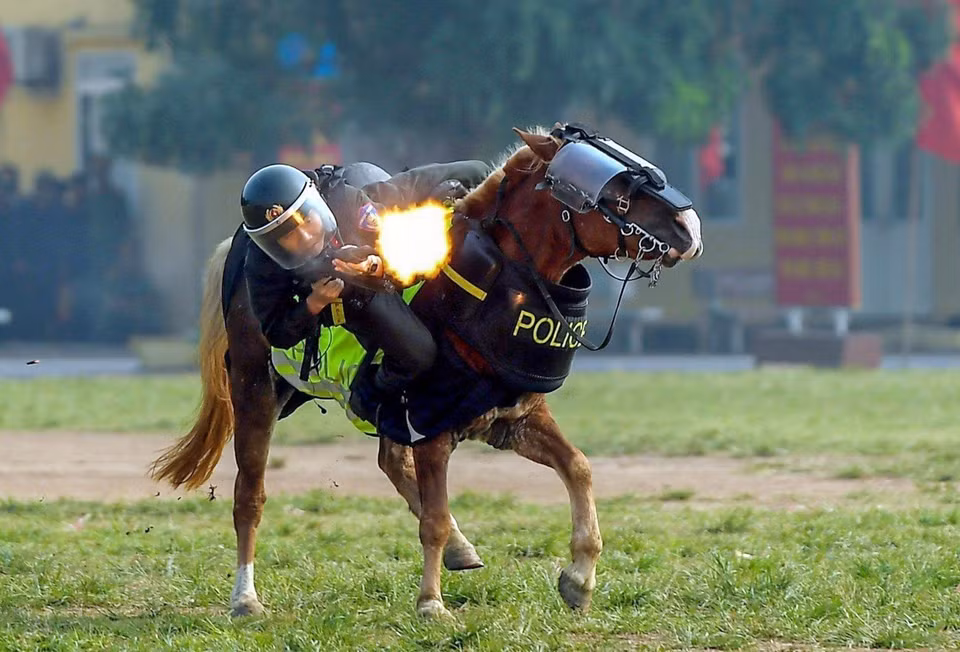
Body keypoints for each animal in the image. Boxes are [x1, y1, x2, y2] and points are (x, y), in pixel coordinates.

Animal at [149, 123, 703, 619]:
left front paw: (579, 579)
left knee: (388, 458)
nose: (690, 229)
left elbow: (580, 468)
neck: (489, 283)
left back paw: (460, 545)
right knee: (250, 495)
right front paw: (431, 602)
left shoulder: (511, 418)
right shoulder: (431, 425)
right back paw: (245, 598)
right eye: (616, 190)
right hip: (254, 389)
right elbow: (432, 516)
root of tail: (238, 250)